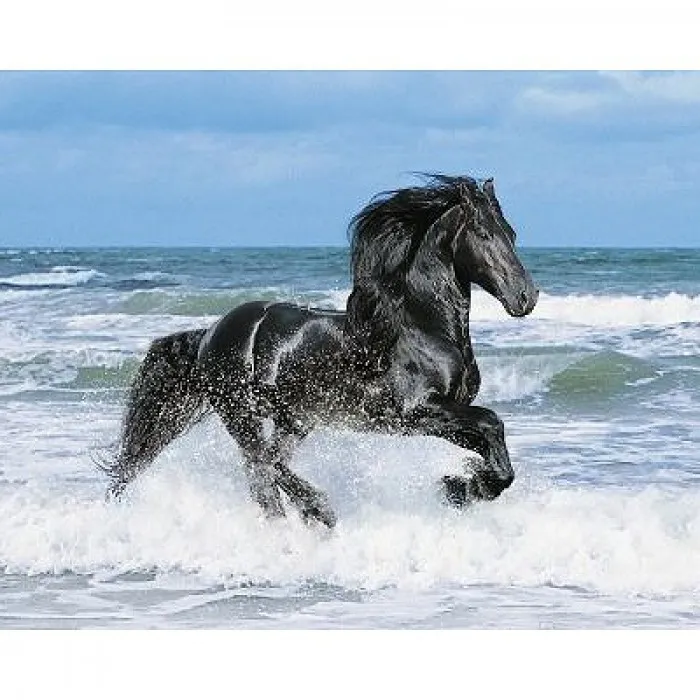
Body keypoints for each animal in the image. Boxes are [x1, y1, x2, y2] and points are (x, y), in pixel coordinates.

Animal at [99, 174, 539, 528]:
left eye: (512, 233)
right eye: (483, 234)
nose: (526, 297)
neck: (423, 328)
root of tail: (211, 333)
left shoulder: (444, 415)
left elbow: (493, 447)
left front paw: (463, 486)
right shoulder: (415, 412)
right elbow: (492, 422)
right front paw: (457, 487)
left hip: (294, 420)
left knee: (269, 467)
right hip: (242, 415)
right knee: (262, 466)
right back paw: (314, 513)